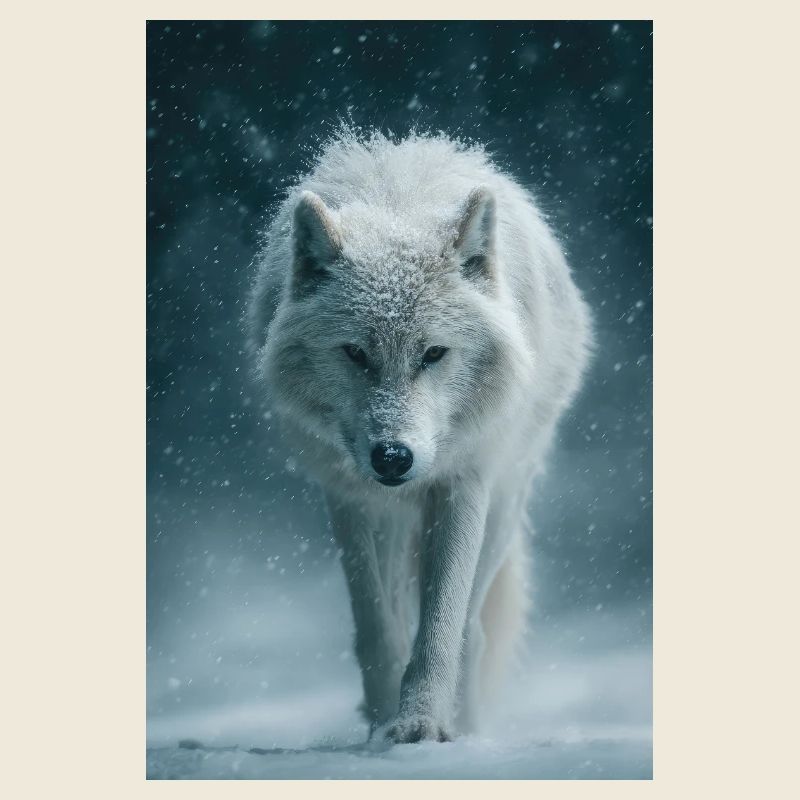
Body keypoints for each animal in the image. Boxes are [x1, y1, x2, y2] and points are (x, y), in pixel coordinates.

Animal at [248, 131, 591, 743]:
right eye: (355, 353)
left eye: (433, 353)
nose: (393, 458)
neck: (398, 207)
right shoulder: (350, 498)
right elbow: (377, 628)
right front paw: (383, 721)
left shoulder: (463, 483)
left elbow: (440, 629)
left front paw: (420, 725)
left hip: (505, 503)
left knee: (473, 630)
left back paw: (470, 727)